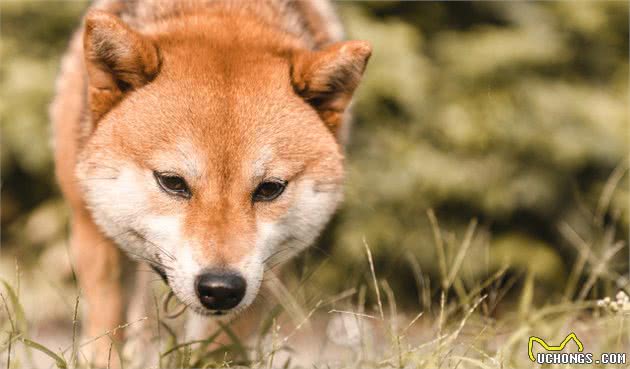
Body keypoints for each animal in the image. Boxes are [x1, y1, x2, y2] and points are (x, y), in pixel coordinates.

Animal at [51, 0, 370, 366]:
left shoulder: (264, 271)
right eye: (172, 182)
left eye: (270, 188)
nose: (221, 288)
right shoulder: (94, 231)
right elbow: (106, 331)